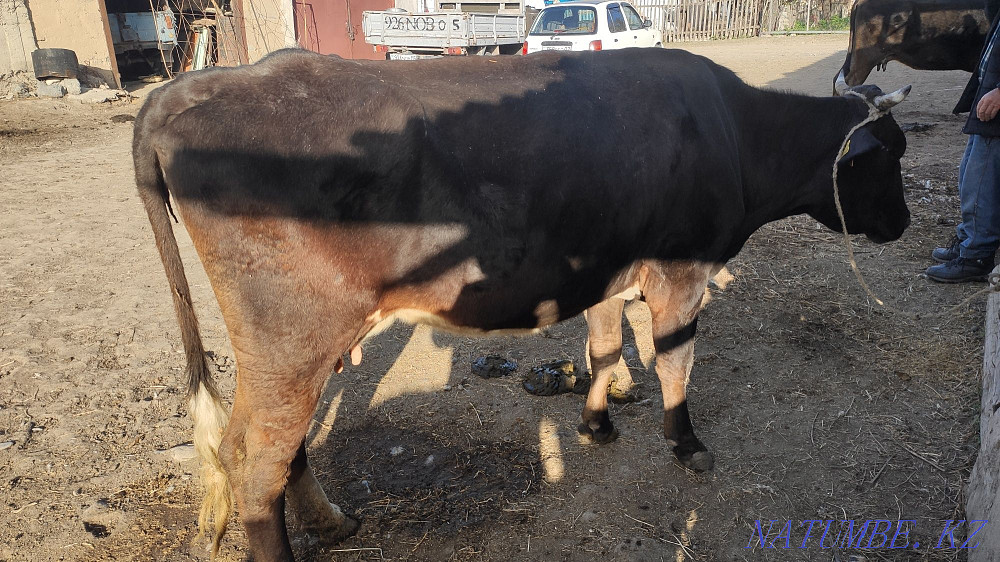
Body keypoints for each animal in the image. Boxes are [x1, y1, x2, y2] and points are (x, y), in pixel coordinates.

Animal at [133, 48, 911, 561]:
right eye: (887, 154)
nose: (903, 224)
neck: (734, 133)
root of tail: (198, 87)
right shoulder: (681, 271)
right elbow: (674, 364)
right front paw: (686, 443)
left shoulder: (606, 271)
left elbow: (604, 348)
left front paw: (597, 424)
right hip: (291, 338)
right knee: (255, 462)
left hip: (294, 348)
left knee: (265, 450)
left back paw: (332, 523)